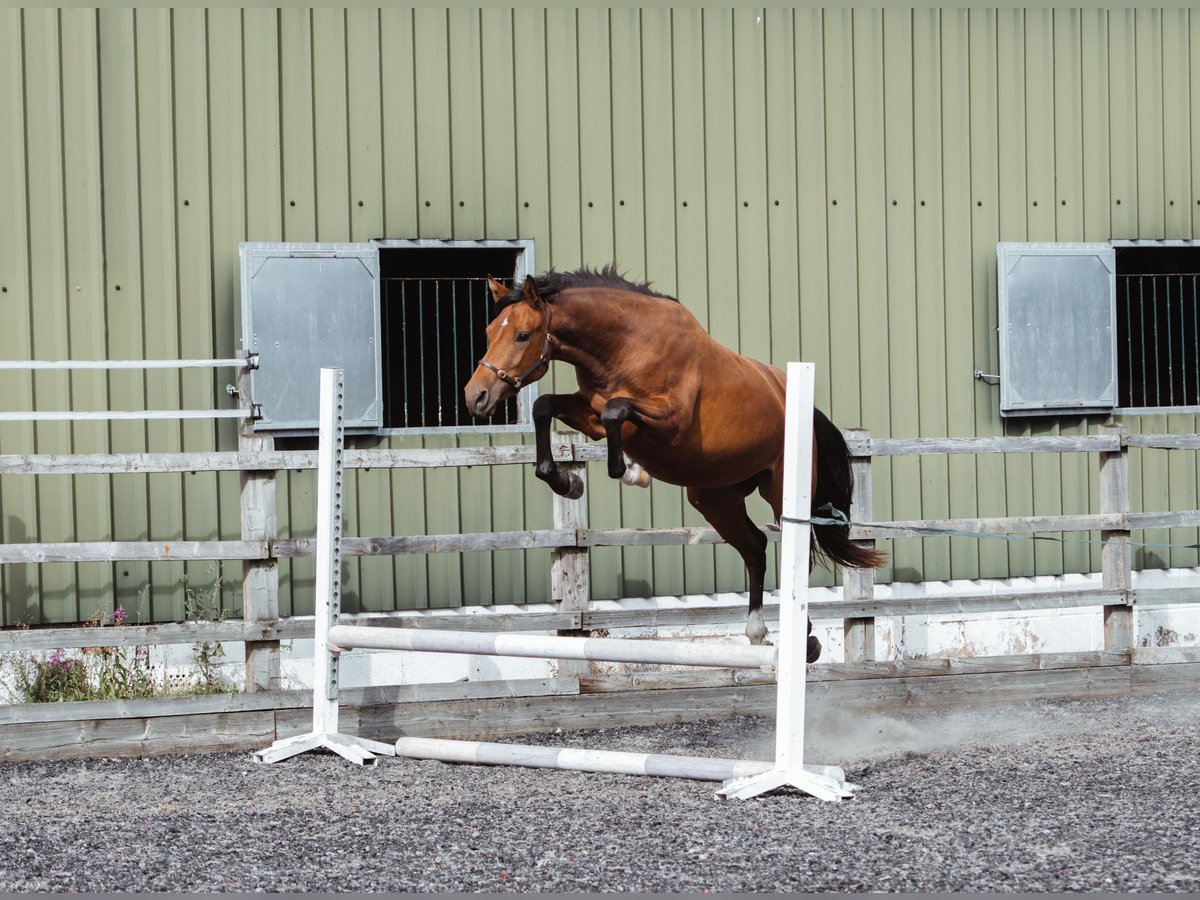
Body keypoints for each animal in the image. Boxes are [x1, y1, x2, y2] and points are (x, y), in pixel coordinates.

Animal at [463, 266, 888, 662]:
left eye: (522, 335)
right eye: (488, 331)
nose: (475, 397)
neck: (625, 344)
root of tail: (806, 408)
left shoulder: (670, 421)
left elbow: (618, 411)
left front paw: (633, 473)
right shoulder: (591, 415)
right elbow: (545, 406)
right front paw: (567, 482)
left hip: (781, 489)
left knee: (793, 550)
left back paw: (805, 639)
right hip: (714, 497)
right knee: (755, 547)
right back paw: (758, 632)